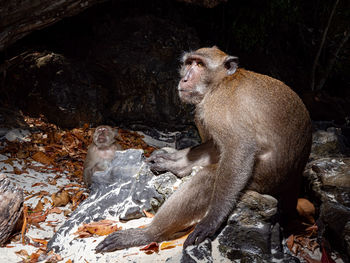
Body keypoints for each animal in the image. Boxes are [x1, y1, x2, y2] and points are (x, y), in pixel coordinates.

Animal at [95, 46, 312, 254]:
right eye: (189, 63)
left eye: (199, 65)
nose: (185, 78)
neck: (220, 82)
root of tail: (294, 181)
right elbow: (216, 145)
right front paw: (171, 160)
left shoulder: (217, 105)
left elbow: (239, 147)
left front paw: (212, 220)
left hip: (265, 179)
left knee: (208, 178)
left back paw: (148, 234)